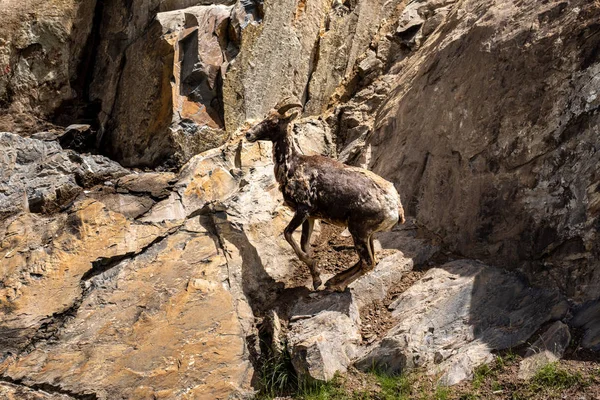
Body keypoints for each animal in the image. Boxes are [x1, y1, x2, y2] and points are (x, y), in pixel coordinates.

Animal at [245, 100, 408, 290]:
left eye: (274, 122)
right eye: (265, 117)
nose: (249, 134)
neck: (293, 165)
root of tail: (396, 209)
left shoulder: (303, 209)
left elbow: (288, 235)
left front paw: (317, 278)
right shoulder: (310, 217)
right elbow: (304, 244)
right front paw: (317, 278)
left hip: (358, 230)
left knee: (368, 262)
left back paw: (337, 285)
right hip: (368, 234)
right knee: (368, 260)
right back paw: (333, 280)